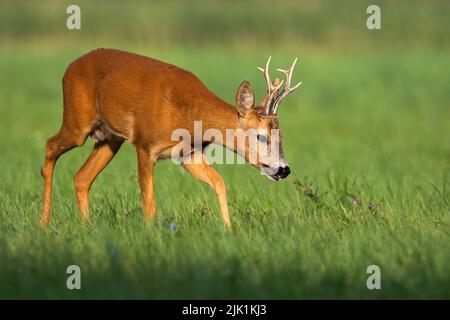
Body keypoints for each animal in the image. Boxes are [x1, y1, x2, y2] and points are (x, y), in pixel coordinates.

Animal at [40, 48, 300, 229]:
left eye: (281, 134)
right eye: (261, 136)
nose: (284, 169)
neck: (191, 115)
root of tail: (69, 68)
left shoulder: (189, 155)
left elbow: (220, 183)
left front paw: (229, 230)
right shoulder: (145, 145)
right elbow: (149, 204)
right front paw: (150, 235)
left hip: (110, 139)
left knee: (81, 177)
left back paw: (87, 227)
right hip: (77, 123)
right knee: (50, 146)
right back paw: (43, 222)